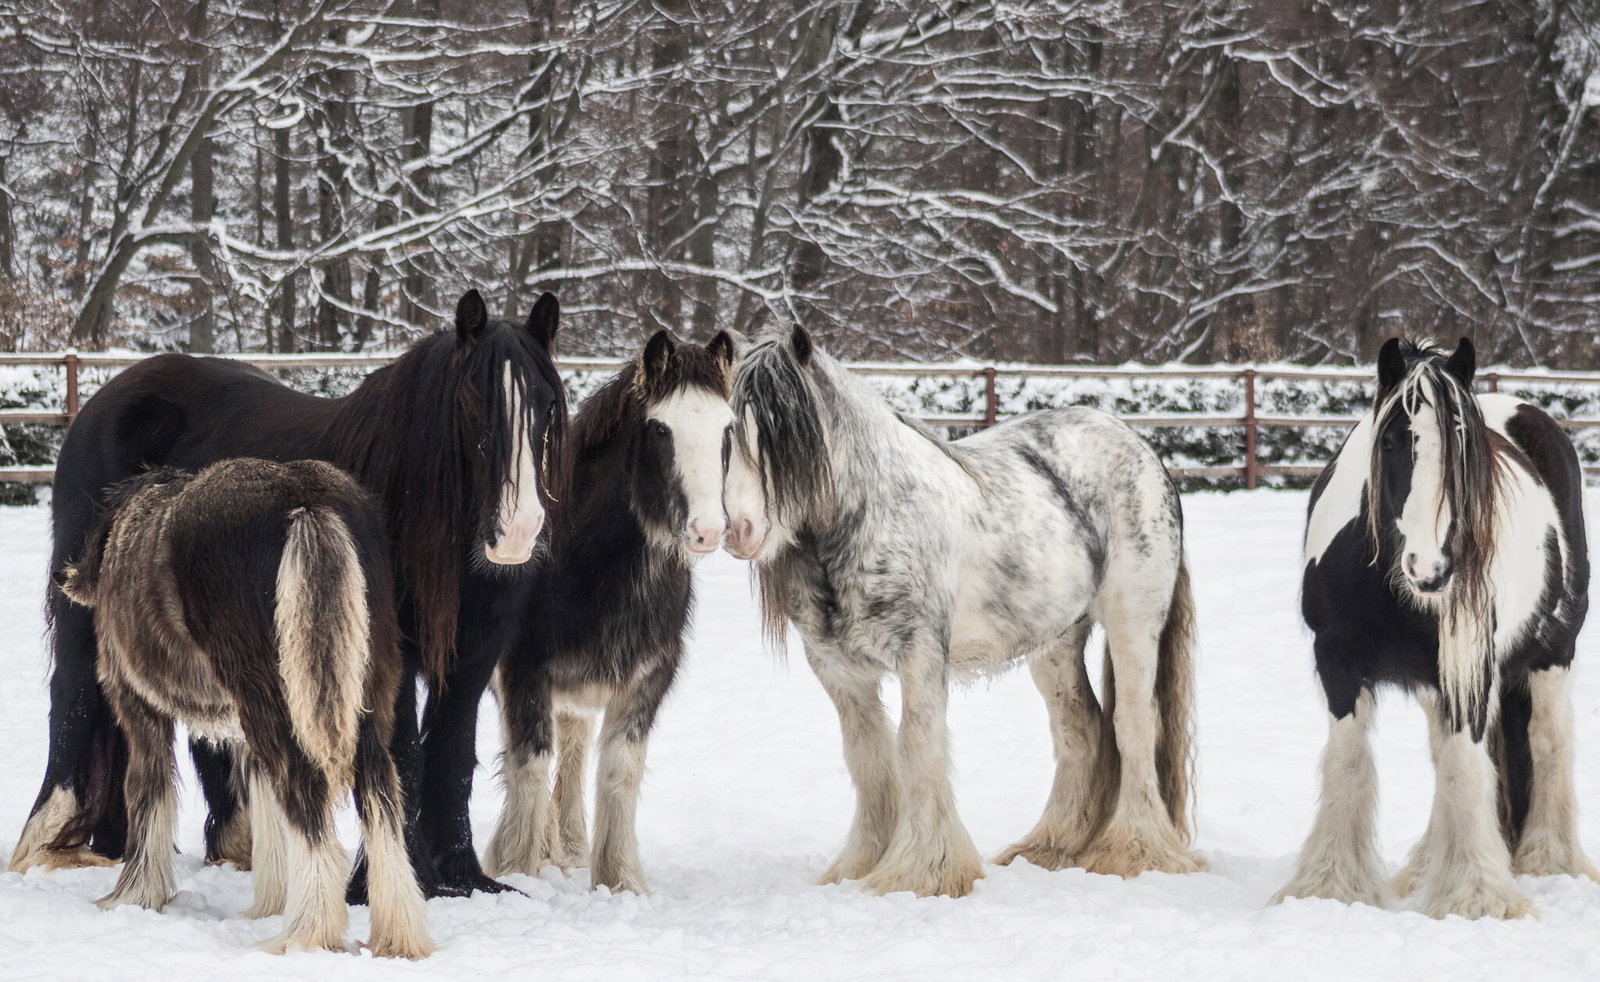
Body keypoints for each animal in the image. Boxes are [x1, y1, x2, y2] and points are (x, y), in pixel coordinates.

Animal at [9, 289, 565, 901]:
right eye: (472, 400)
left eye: (546, 403)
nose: (517, 532)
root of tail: (103, 402)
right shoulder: (385, 654)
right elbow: (405, 759)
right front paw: (398, 879)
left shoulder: (473, 656)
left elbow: (453, 755)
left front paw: (463, 876)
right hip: (85, 611)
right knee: (74, 697)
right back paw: (43, 841)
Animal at [58, 459, 431, 958]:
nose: (67, 578)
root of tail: (305, 501)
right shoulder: (242, 729)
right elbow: (266, 814)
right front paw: (270, 903)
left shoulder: (139, 708)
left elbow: (149, 796)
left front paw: (134, 896)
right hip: (354, 705)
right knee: (379, 797)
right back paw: (397, 935)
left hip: (275, 705)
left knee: (308, 800)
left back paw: (306, 933)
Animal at [485, 329, 735, 894]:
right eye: (661, 428)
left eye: (728, 427)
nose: (708, 530)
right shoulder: (523, 671)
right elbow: (529, 762)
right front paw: (514, 870)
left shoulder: (647, 678)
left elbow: (620, 769)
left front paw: (619, 879)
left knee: (574, 747)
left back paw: (570, 847)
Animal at [719, 325, 1201, 898]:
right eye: (726, 436)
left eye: (785, 435)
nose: (739, 531)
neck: (872, 514)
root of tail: (1141, 448)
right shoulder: (840, 671)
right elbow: (869, 760)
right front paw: (861, 866)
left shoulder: (920, 653)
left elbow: (916, 747)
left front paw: (923, 872)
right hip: (1057, 641)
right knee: (1080, 729)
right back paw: (1050, 848)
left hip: (1134, 623)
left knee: (1135, 725)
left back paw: (1135, 851)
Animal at [1275, 337, 1593, 919]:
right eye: (1393, 442)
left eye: (1466, 446)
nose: (1432, 569)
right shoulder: (1336, 662)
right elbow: (1349, 765)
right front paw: (1329, 887)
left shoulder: (1471, 668)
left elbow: (1465, 769)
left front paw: (1478, 897)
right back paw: (1427, 867)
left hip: (1554, 653)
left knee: (1548, 742)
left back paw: (1548, 860)